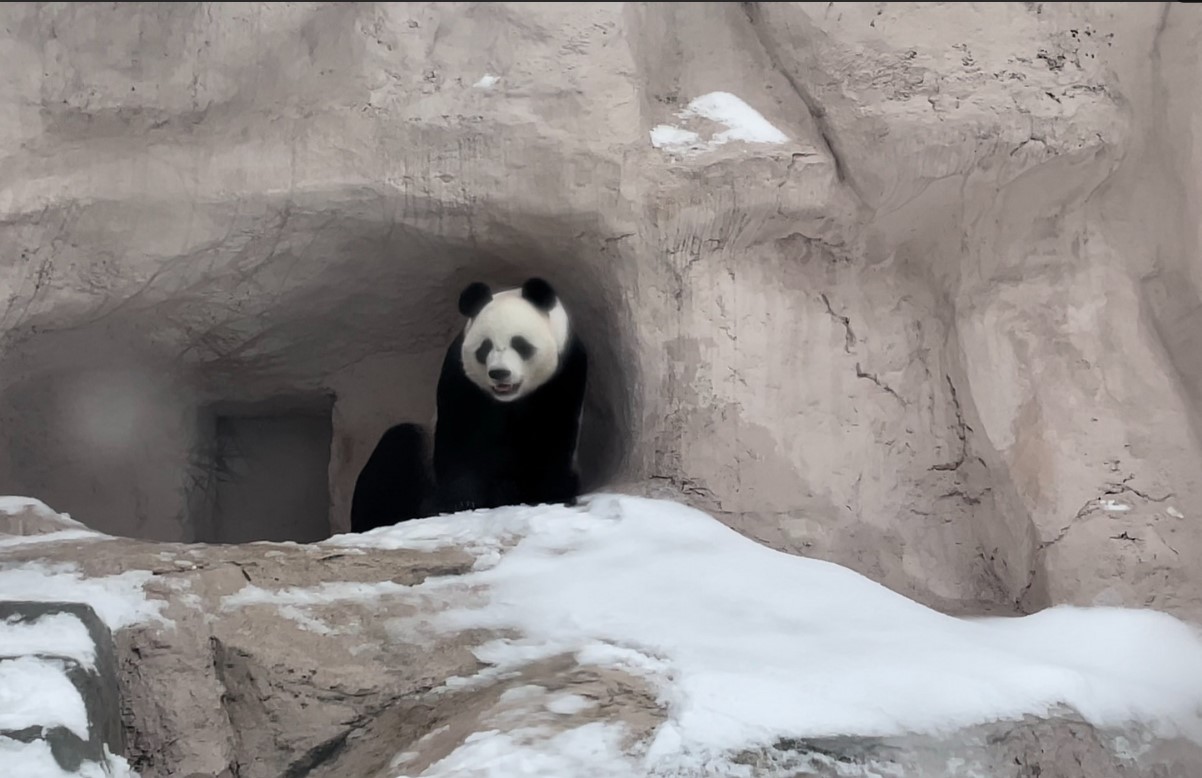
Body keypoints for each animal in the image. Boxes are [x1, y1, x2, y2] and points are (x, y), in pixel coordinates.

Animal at [432, 276, 591, 514]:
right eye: (484, 347)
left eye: (520, 344)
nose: (499, 373)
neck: (510, 401)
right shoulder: (461, 377)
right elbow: (458, 432)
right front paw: (462, 500)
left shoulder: (566, 372)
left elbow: (554, 429)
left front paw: (553, 494)